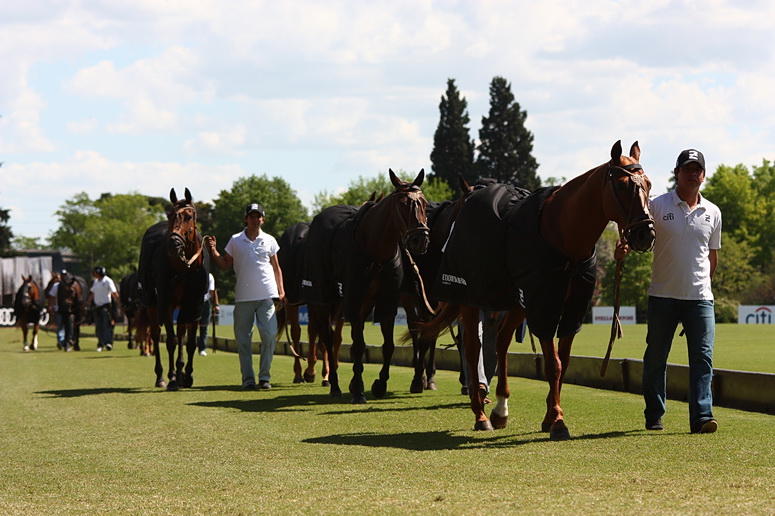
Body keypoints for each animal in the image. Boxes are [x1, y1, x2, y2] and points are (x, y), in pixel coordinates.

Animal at [137, 188, 208, 390]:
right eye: (169, 214)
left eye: (188, 216)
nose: (174, 243)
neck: (185, 267)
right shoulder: (166, 302)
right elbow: (171, 341)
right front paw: (173, 378)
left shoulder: (195, 304)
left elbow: (190, 342)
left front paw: (187, 375)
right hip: (151, 302)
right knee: (154, 334)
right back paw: (162, 376)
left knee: (181, 332)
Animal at [302, 169, 429, 403]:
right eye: (402, 204)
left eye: (423, 202)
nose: (420, 239)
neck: (375, 250)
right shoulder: (354, 299)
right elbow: (358, 345)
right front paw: (359, 389)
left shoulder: (386, 300)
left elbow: (388, 346)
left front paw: (379, 384)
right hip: (323, 297)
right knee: (327, 337)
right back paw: (334, 383)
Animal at [401, 175, 473, 393]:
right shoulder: (424, 298)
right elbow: (424, 334)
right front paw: (417, 379)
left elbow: (463, 337)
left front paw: (466, 382)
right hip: (410, 298)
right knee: (417, 329)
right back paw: (423, 374)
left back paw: (431, 376)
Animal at [414, 141, 655, 439]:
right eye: (622, 185)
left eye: (648, 183)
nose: (646, 234)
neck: (563, 236)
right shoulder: (543, 305)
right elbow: (554, 365)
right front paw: (558, 420)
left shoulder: (572, 310)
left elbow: (563, 362)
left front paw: (550, 416)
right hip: (470, 297)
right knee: (472, 348)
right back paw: (481, 414)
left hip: (516, 302)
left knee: (501, 341)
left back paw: (500, 408)